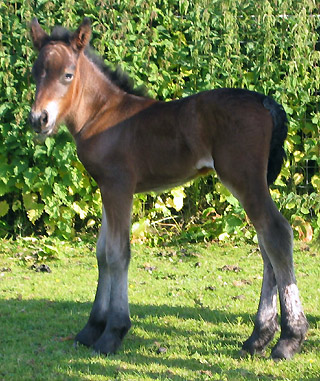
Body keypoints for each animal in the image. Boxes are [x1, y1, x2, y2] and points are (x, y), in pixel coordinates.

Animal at [29, 17, 308, 358]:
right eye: (35, 73)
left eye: (68, 74)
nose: (39, 119)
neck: (102, 114)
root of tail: (264, 101)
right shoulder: (107, 188)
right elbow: (101, 253)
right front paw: (91, 329)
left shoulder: (119, 187)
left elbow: (117, 253)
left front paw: (112, 333)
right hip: (250, 183)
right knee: (266, 243)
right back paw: (258, 336)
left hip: (244, 178)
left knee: (277, 234)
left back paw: (289, 339)